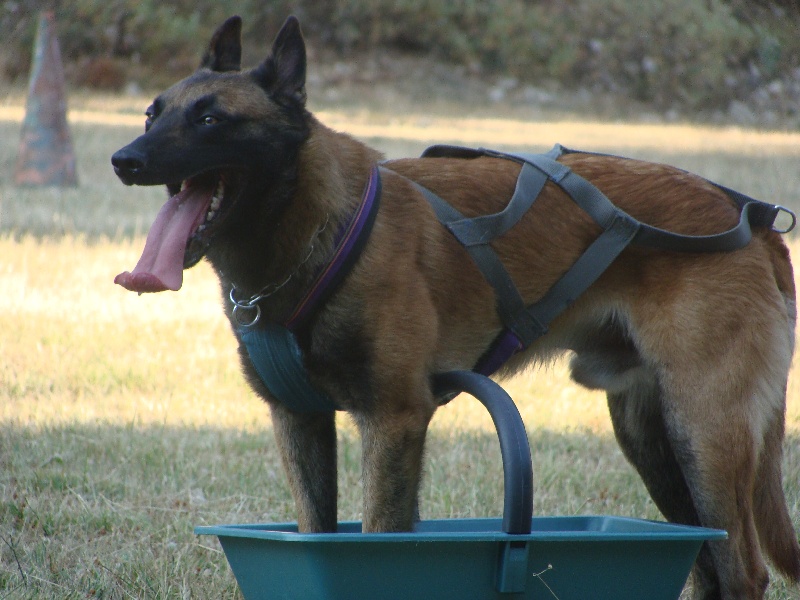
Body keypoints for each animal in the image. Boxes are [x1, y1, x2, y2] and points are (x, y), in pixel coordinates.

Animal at [112, 16, 800, 596]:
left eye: (210, 120)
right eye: (151, 114)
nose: (125, 159)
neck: (319, 231)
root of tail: (751, 216)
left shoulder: (392, 419)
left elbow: (380, 532)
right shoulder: (301, 421)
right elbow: (318, 528)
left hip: (702, 430)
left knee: (743, 570)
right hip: (653, 438)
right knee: (705, 561)